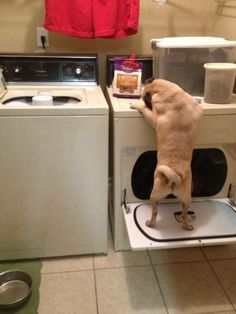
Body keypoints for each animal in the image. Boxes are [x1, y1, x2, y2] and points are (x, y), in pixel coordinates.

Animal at [131, 78, 203, 231]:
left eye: (145, 99)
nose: (146, 102)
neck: (166, 91)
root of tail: (176, 176)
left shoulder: (153, 118)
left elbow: (144, 109)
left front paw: (137, 104)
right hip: (187, 199)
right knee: (184, 212)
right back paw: (187, 225)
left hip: (154, 195)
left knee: (155, 211)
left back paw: (150, 223)